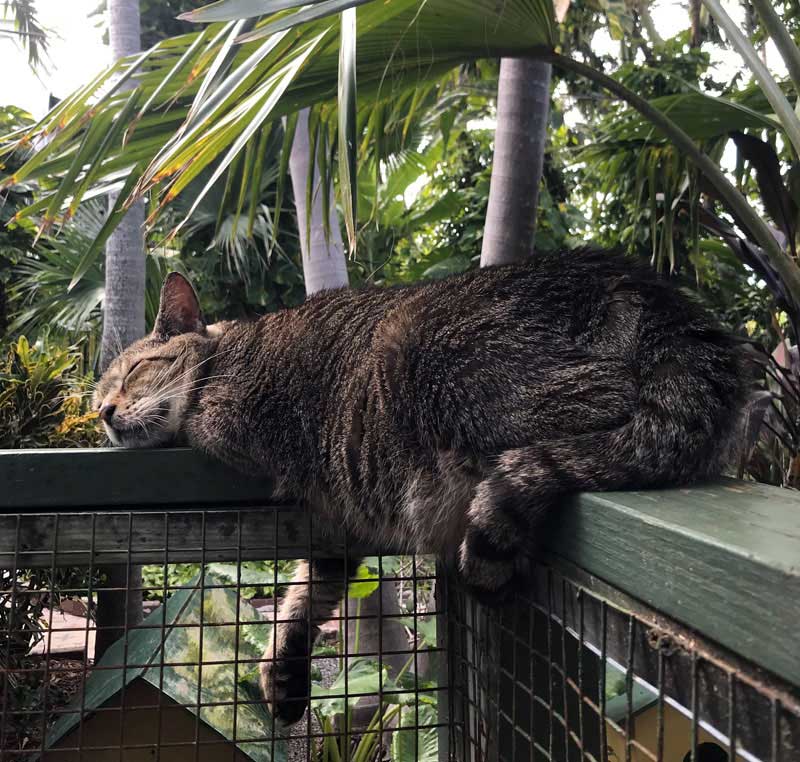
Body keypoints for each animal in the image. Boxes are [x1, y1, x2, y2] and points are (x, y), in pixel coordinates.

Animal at [95, 251, 752, 724]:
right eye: (102, 390)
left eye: (133, 372)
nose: (101, 411)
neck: (225, 356)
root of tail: (641, 287)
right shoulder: (338, 530)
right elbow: (308, 595)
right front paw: (281, 668)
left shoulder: (227, 419)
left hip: (449, 367)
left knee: (613, 412)